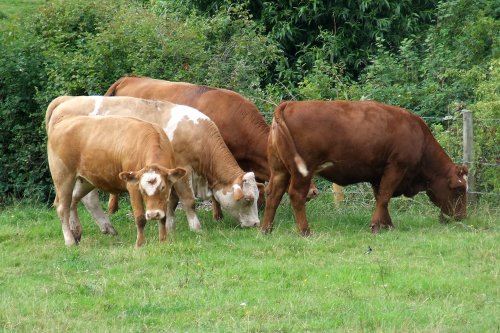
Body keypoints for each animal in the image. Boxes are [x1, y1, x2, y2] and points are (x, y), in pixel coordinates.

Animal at [46, 114, 187, 246]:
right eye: (142, 189)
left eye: (163, 187)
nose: (153, 215)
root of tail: (62, 122)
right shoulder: (133, 186)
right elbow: (140, 218)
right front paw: (140, 244)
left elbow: (164, 217)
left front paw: (163, 240)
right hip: (63, 176)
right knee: (62, 207)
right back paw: (69, 240)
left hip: (87, 180)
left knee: (73, 200)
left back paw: (76, 232)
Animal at [47, 94, 264, 232]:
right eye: (248, 199)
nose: (255, 224)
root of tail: (66, 100)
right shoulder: (184, 170)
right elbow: (188, 200)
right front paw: (196, 228)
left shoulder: (171, 174)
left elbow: (171, 201)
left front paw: (169, 225)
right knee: (82, 200)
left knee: (77, 199)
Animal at [262, 100, 468, 235]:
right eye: (459, 189)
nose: (462, 216)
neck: (419, 137)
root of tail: (289, 104)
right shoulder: (396, 167)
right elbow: (384, 197)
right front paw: (376, 226)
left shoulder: (378, 174)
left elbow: (380, 198)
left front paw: (387, 225)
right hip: (302, 172)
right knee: (296, 195)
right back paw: (305, 231)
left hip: (279, 170)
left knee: (273, 194)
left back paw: (266, 229)